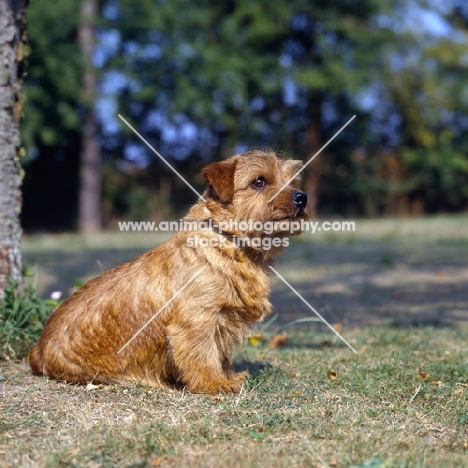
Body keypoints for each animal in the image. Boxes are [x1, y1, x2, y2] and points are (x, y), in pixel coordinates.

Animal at [27, 149, 308, 392]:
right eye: (259, 181)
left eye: (293, 180)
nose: (302, 197)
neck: (230, 246)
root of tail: (37, 350)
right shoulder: (197, 321)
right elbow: (203, 355)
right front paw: (214, 384)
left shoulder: (224, 321)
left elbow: (222, 354)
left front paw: (229, 376)